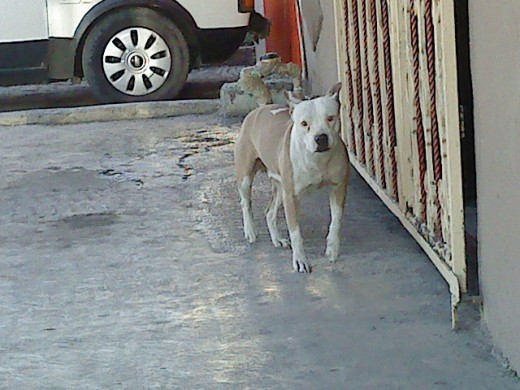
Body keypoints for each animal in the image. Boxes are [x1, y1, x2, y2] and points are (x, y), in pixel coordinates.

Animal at [235, 83, 350, 272]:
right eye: (304, 124)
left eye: (330, 118)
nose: (321, 138)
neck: (317, 160)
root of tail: (261, 108)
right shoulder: (292, 197)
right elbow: (296, 233)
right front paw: (300, 260)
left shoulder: (338, 188)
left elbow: (336, 220)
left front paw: (332, 248)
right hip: (246, 176)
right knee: (245, 202)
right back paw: (250, 230)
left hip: (280, 187)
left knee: (269, 212)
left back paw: (277, 239)